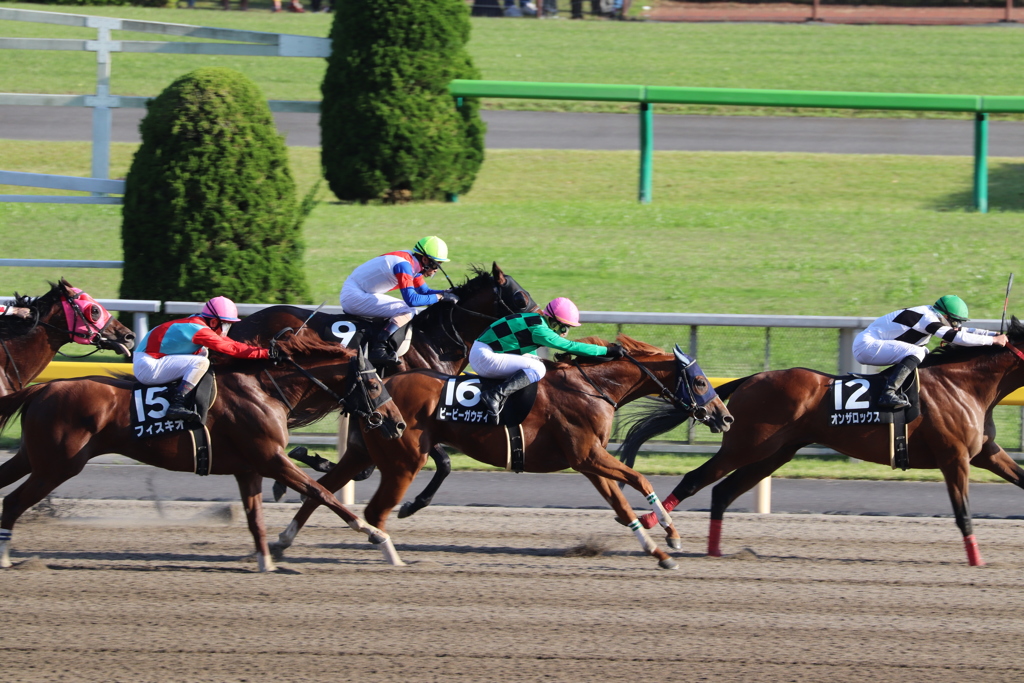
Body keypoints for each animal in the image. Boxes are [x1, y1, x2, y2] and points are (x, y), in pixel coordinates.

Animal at [0, 331, 407, 573]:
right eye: (374, 384)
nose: (398, 423)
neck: (266, 391)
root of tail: (41, 389)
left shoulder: (249, 468)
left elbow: (256, 518)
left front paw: (266, 561)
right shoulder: (270, 458)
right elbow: (321, 492)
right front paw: (379, 538)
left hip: (35, 458)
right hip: (57, 466)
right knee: (13, 502)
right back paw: (5, 556)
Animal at [274, 335, 737, 573]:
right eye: (699, 382)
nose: (725, 416)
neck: (594, 387)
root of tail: (380, 389)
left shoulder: (588, 462)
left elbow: (622, 507)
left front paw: (659, 551)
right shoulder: (588, 456)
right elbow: (639, 480)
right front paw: (672, 535)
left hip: (365, 451)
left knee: (323, 489)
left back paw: (283, 541)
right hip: (404, 460)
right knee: (373, 510)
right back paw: (387, 551)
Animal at [618, 317, 1024, 569]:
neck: (964, 385)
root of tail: (752, 378)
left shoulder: (985, 453)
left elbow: (1019, 478)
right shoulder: (954, 457)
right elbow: (963, 513)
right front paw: (977, 561)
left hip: (774, 452)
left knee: (723, 491)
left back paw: (715, 550)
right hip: (746, 446)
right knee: (695, 480)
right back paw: (654, 520)